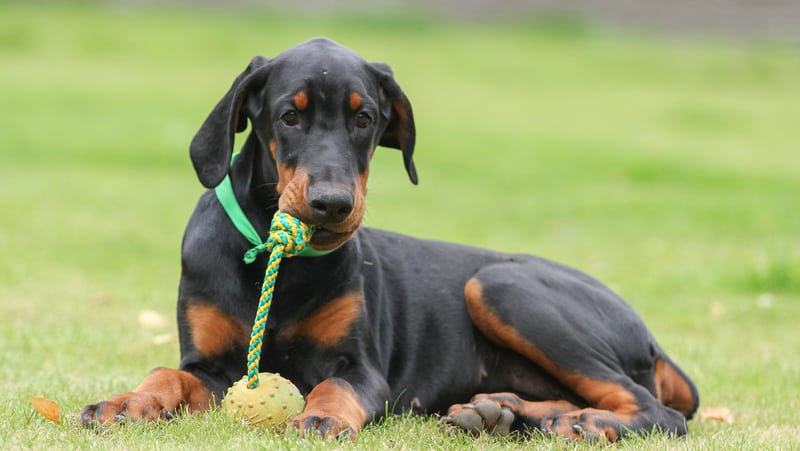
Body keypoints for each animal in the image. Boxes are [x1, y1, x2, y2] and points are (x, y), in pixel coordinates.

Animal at [78, 38, 696, 442]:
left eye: (365, 119)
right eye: (288, 116)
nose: (332, 204)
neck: (285, 260)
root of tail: (653, 341)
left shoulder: (362, 366)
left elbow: (338, 386)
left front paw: (321, 417)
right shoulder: (210, 366)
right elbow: (169, 373)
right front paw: (127, 401)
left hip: (499, 284)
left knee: (657, 411)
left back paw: (582, 423)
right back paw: (505, 413)